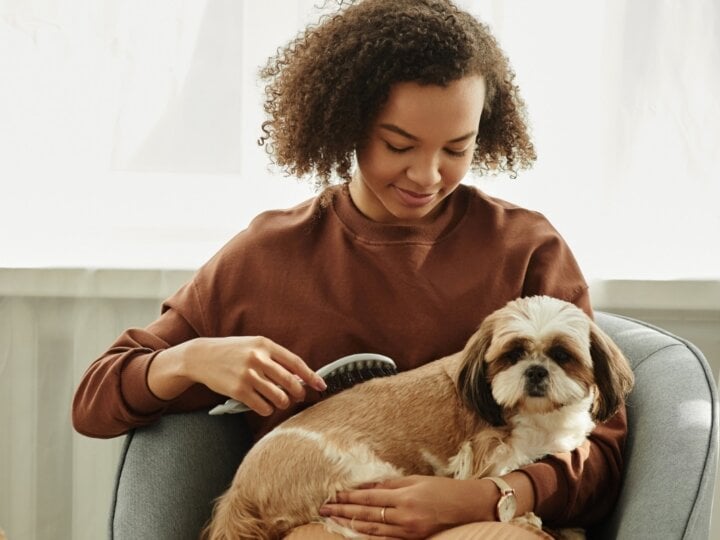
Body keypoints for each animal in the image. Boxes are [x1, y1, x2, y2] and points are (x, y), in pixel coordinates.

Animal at [204, 298, 636, 536]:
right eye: (512, 354)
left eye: (562, 355)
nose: (535, 371)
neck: (536, 417)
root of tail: (239, 489)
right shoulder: (483, 459)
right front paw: (528, 519)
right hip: (360, 479)